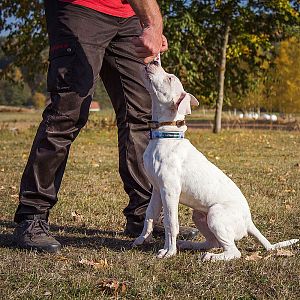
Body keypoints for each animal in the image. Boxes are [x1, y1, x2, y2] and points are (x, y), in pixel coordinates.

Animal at [133, 61, 298, 260]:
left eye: (170, 78)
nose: (154, 61)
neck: (165, 134)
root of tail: (249, 221)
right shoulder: (157, 190)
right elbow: (150, 215)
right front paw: (142, 239)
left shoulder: (170, 191)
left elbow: (171, 223)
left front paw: (169, 252)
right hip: (199, 215)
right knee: (212, 242)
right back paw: (190, 244)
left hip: (215, 214)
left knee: (233, 251)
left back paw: (212, 257)